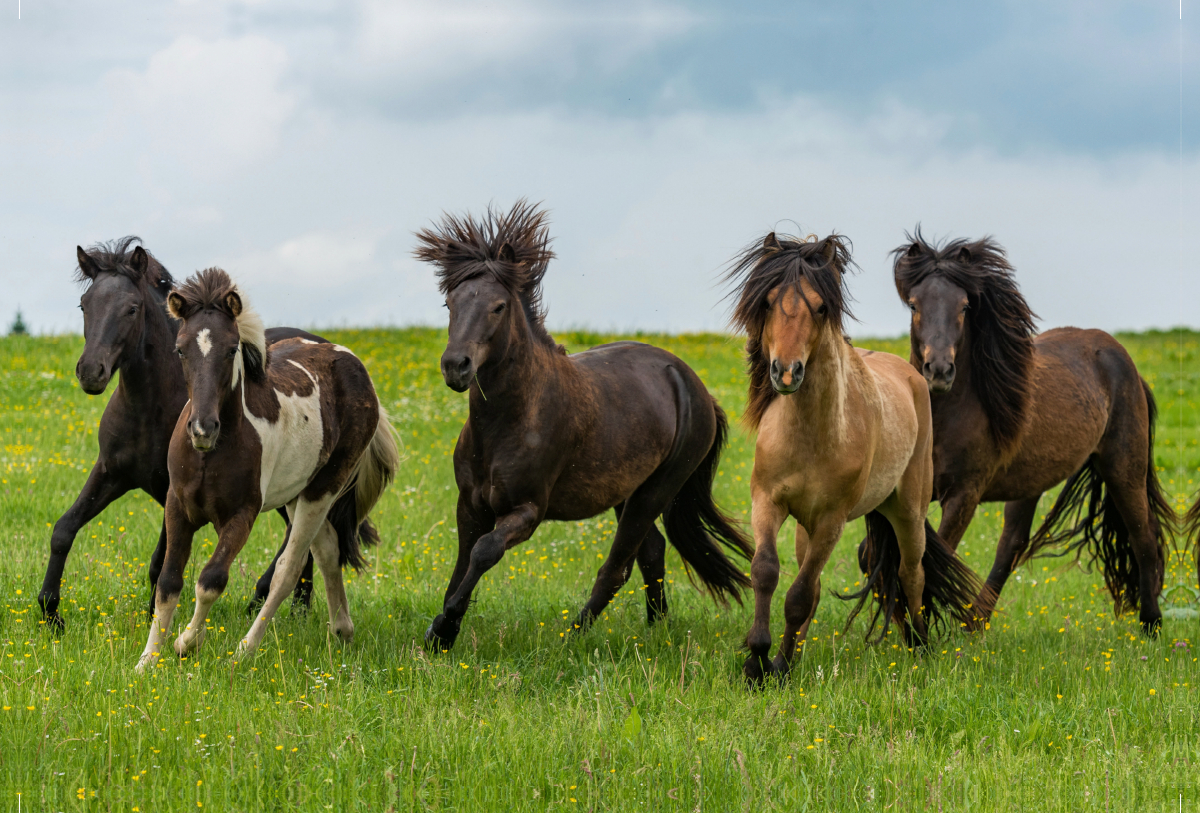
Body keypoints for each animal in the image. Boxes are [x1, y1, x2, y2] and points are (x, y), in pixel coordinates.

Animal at [134, 271, 398, 671]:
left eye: (232, 349)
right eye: (180, 349)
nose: (203, 429)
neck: (210, 455)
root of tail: (351, 362)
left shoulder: (242, 515)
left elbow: (211, 579)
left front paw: (185, 643)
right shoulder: (178, 508)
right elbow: (168, 583)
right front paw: (147, 661)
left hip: (323, 489)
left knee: (291, 568)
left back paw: (245, 650)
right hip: (296, 493)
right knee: (328, 549)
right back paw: (342, 630)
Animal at [412, 203, 748, 657]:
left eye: (498, 306)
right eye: (451, 303)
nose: (455, 366)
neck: (506, 424)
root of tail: (695, 388)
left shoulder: (528, 511)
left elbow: (483, 553)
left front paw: (444, 628)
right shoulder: (470, 505)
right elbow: (461, 563)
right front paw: (442, 634)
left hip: (656, 490)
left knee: (618, 567)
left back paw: (572, 636)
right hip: (628, 493)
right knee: (651, 552)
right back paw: (656, 627)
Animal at [724, 232, 979, 685]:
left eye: (820, 306)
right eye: (767, 302)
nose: (785, 372)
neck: (812, 434)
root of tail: (914, 376)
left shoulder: (832, 519)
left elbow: (799, 594)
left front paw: (780, 667)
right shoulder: (768, 502)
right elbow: (768, 572)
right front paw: (759, 660)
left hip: (907, 513)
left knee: (911, 574)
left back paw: (920, 646)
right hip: (807, 524)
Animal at [897, 231, 1166, 637]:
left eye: (964, 306)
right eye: (914, 304)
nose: (939, 370)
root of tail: (1125, 364)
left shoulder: (963, 496)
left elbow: (936, 557)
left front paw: (920, 633)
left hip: (1123, 469)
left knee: (1143, 536)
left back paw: (1151, 626)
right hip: (1030, 483)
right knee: (1011, 545)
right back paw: (975, 625)